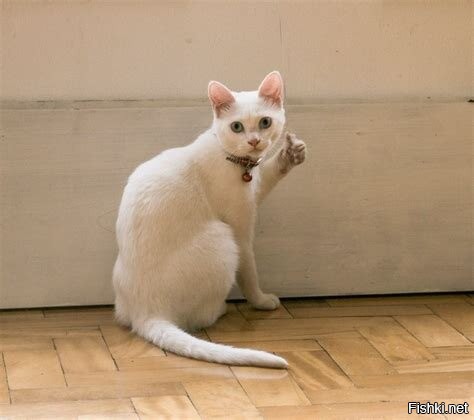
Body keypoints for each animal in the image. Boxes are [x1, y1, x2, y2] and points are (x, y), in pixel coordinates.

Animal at [113, 71, 306, 368]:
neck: (241, 166)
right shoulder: (241, 229)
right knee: (201, 317)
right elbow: (250, 274)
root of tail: (146, 312)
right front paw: (262, 300)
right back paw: (222, 308)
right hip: (223, 239)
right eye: (236, 127)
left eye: (265, 122)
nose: (254, 141)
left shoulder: (255, 189)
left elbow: (269, 172)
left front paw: (291, 154)